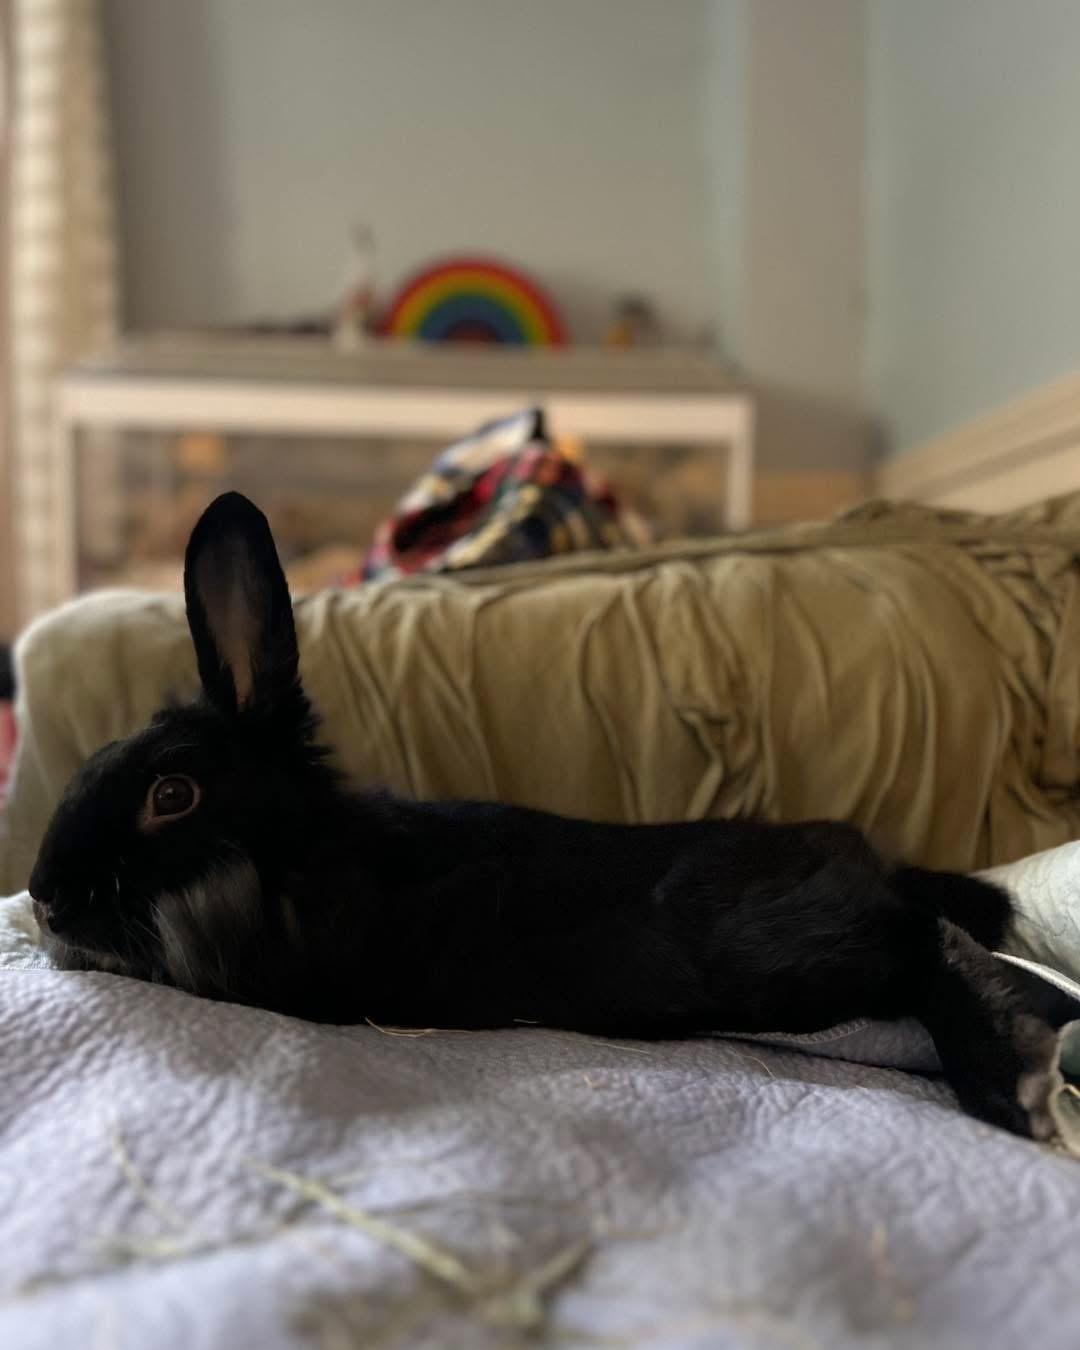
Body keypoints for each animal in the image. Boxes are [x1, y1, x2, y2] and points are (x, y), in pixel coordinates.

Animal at [28, 492, 1062, 1141]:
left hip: (778, 959)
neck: (300, 854)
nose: (42, 897)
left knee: (921, 941)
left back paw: (1007, 1078)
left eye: (173, 795)